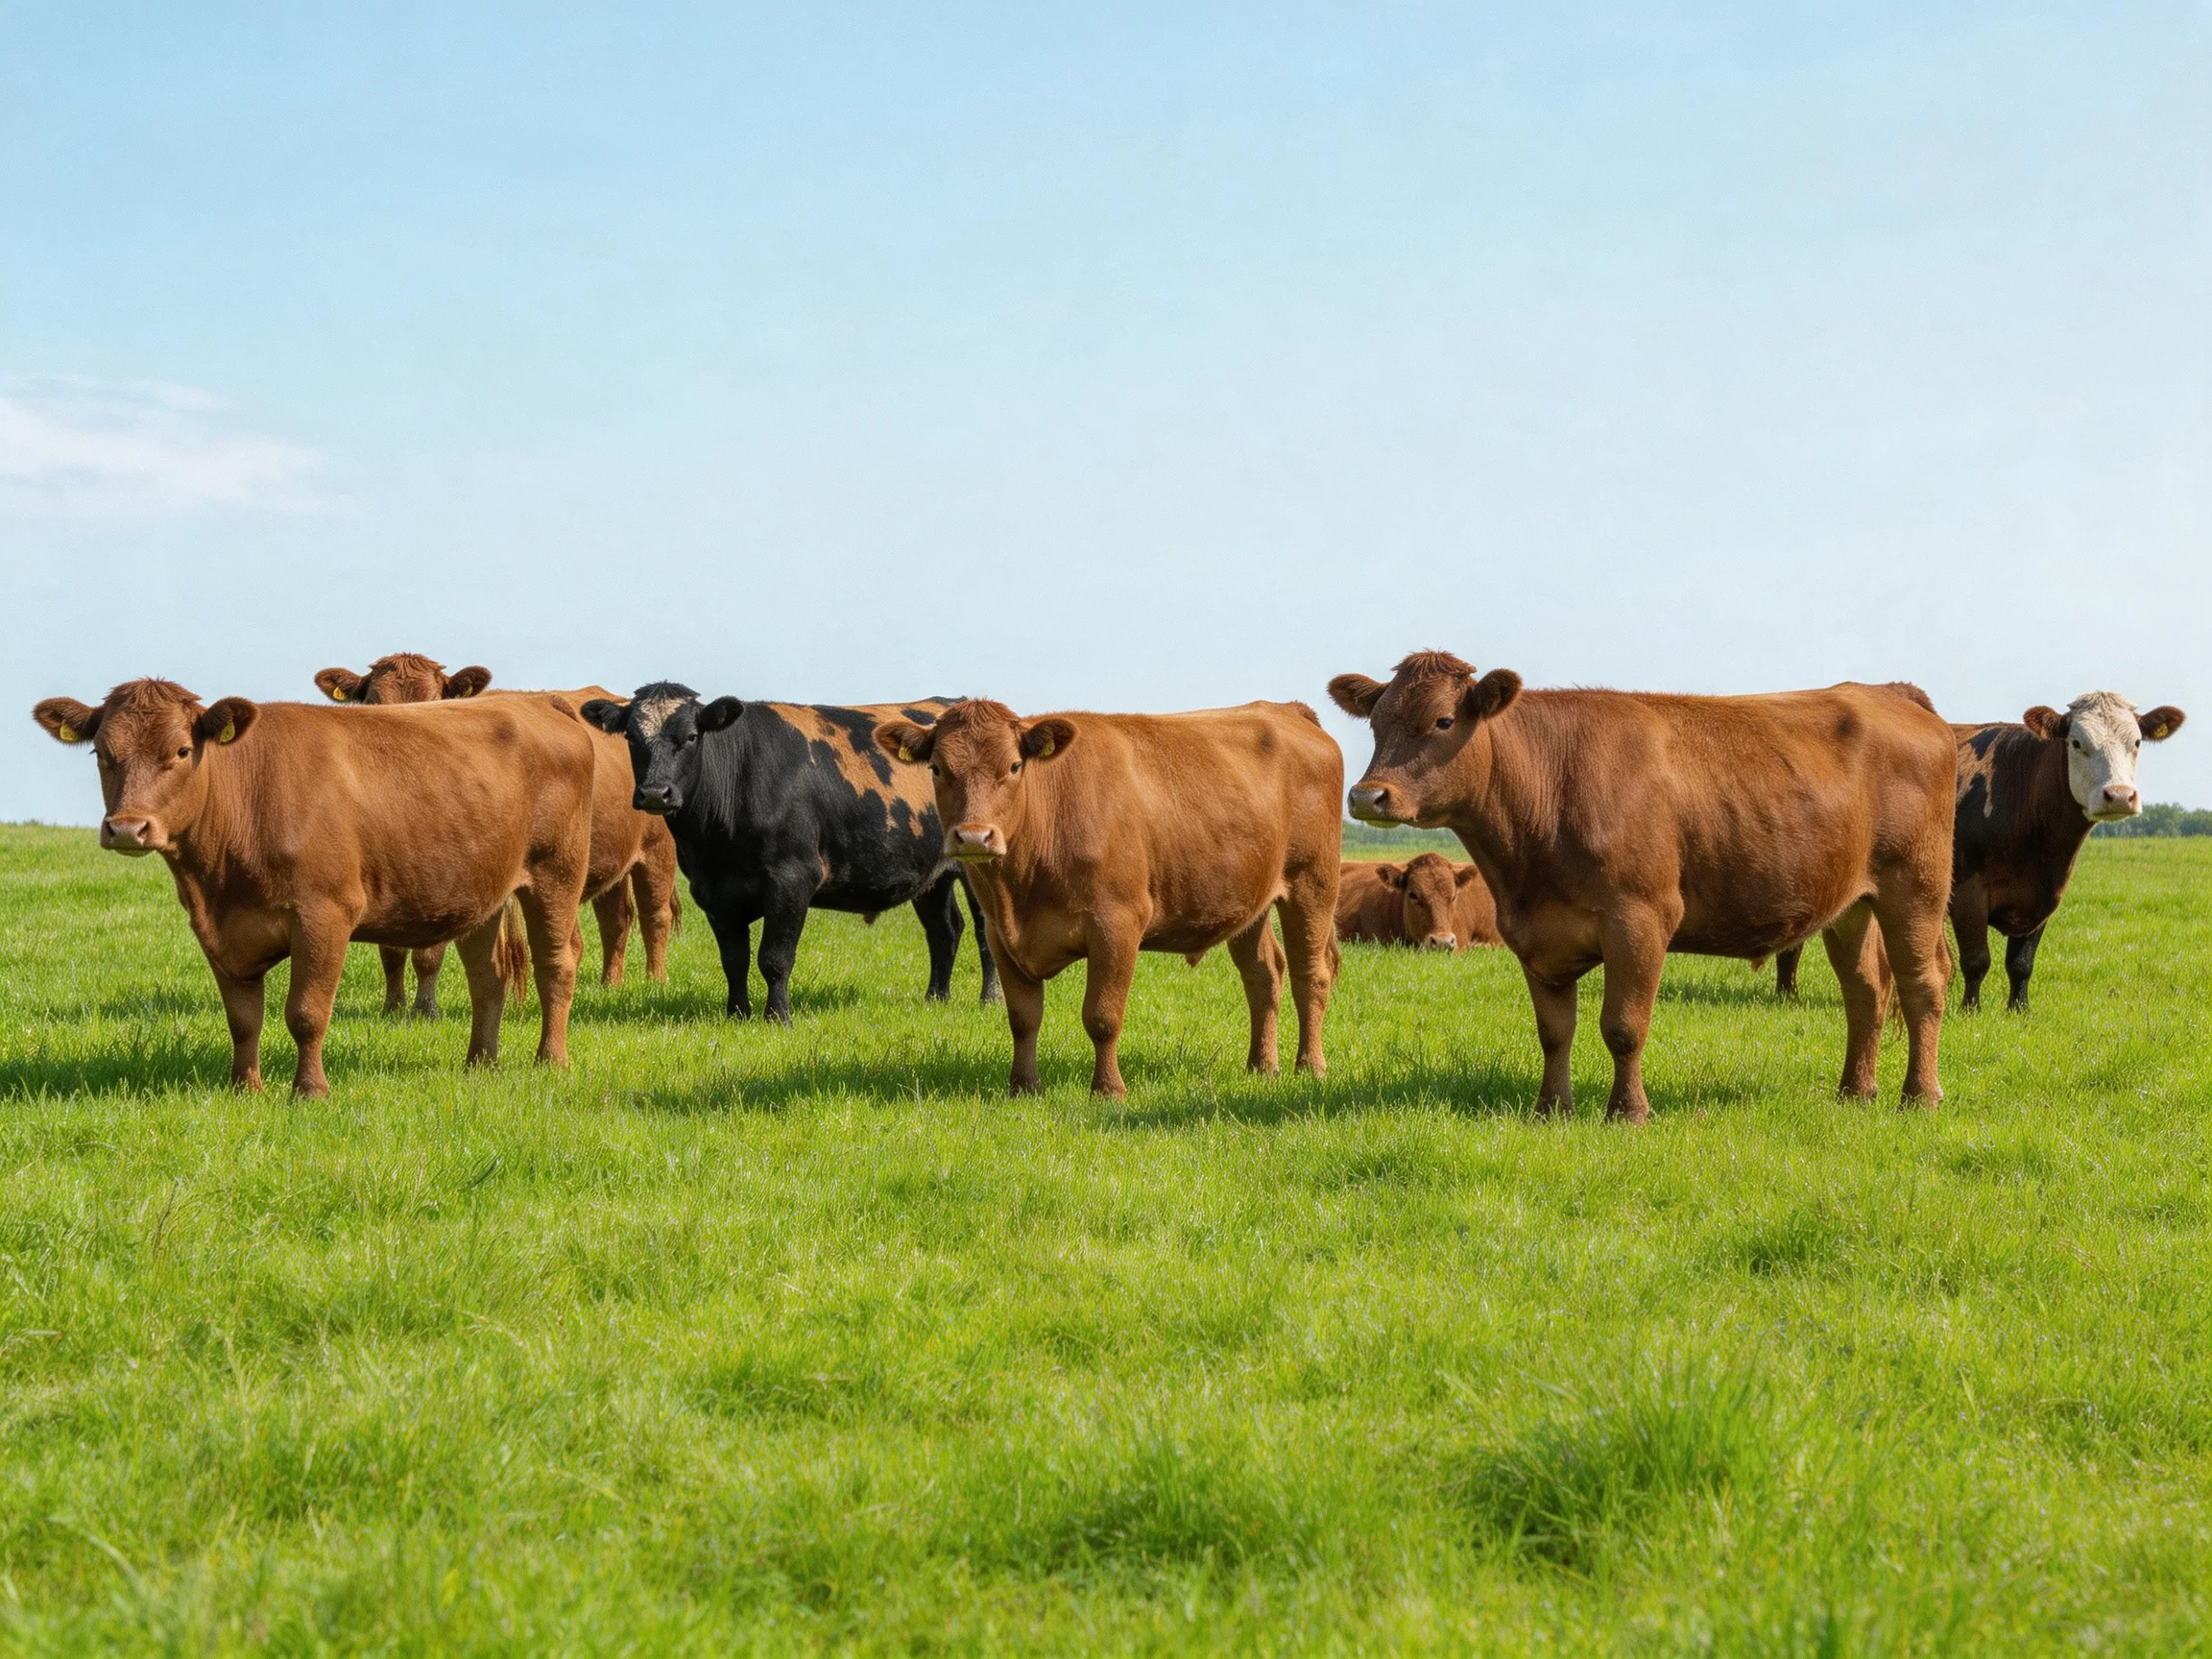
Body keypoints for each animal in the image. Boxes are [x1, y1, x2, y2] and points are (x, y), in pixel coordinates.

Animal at [32, 679, 594, 1095]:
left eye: (183, 749)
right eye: (102, 754)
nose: (128, 828)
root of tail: (536, 700)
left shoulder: (324, 915)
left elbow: (305, 1014)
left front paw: (309, 1091)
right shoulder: (218, 930)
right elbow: (243, 1018)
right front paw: (245, 1088)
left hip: (556, 874)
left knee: (556, 964)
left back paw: (551, 1061)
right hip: (482, 889)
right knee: (488, 976)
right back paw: (480, 1064)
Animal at [312, 653, 682, 1016]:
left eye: (436, 703)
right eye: (373, 703)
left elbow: (429, 953)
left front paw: (424, 1008)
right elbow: (391, 950)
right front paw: (393, 1007)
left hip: (655, 850)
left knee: (654, 916)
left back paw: (655, 981)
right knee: (615, 921)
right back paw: (610, 985)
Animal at [577, 685, 997, 1021]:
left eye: (693, 736)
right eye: (631, 737)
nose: (655, 793)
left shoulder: (792, 879)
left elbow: (774, 958)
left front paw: (777, 1017)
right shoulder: (711, 891)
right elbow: (734, 960)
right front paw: (737, 1015)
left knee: (983, 929)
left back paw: (989, 998)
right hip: (931, 875)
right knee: (945, 930)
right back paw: (936, 998)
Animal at [873, 698, 1342, 1098]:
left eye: (1014, 765)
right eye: (937, 768)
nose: (974, 836)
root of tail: (1287, 710)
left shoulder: (1116, 925)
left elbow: (1102, 1016)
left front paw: (1108, 1089)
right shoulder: (1000, 933)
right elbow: (1023, 1018)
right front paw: (1023, 1087)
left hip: (1312, 884)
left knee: (1310, 975)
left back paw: (1310, 1066)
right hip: (1249, 901)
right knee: (1264, 975)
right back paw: (1261, 1066)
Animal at [1771, 691, 2187, 1012]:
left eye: (2136, 743)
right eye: (2077, 742)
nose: (2119, 795)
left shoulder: (2046, 895)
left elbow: (2021, 962)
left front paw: (2019, 1009)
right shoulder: (1968, 891)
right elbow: (1977, 959)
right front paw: (1970, 1009)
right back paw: (1786, 995)